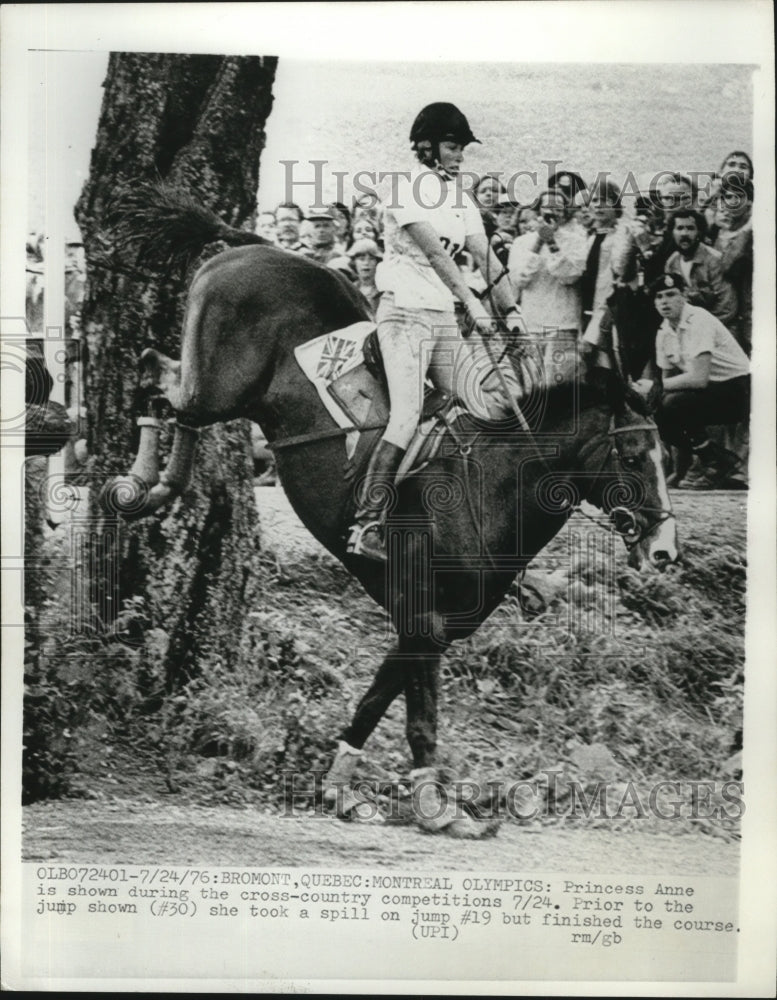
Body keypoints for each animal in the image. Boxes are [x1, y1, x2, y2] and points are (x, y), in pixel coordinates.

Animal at [104, 188, 680, 836]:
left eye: (666, 457)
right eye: (631, 456)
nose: (664, 549)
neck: (490, 487)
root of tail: (252, 246)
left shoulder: (432, 626)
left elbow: (377, 698)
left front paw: (342, 789)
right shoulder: (422, 618)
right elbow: (419, 718)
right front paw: (436, 805)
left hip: (222, 391)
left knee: (167, 389)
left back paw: (161, 484)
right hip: (218, 386)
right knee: (158, 381)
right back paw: (141, 485)